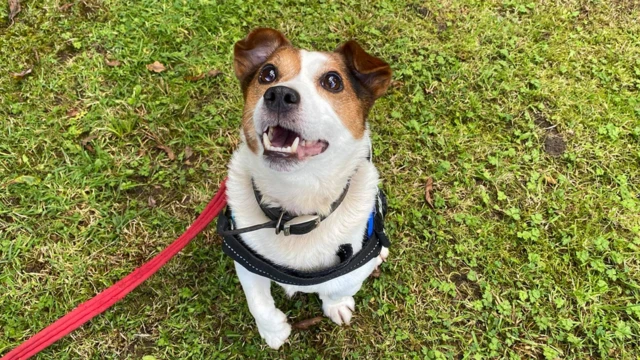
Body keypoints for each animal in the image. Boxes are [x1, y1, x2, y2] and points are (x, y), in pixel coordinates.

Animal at [225, 28, 396, 348]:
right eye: (268, 73)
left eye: (333, 81)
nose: (279, 94)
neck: (295, 211)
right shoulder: (244, 255)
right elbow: (257, 302)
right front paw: (273, 330)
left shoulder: (352, 267)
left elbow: (340, 286)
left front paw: (336, 305)